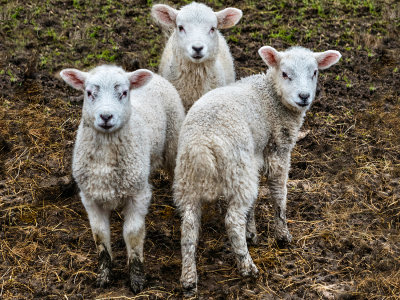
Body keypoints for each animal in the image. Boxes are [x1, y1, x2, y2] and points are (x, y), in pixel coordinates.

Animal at [59, 64, 186, 292]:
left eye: (124, 93)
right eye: (89, 93)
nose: (106, 116)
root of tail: (155, 76)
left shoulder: (138, 195)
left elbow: (133, 235)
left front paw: (136, 278)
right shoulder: (90, 198)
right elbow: (100, 235)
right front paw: (103, 275)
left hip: (173, 142)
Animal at [173, 45, 342, 296]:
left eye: (314, 73)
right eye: (285, 73)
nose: (304, 97)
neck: (272, 97)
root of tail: (202, 145)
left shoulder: (256, 155)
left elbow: (253, 204)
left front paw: (252, 232)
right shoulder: (277, 148)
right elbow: (278, 193)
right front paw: (282, 235)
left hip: (190, 180)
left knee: (189, 227)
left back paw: (188, 279)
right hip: (236, 168)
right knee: (232, 220)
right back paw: (247, 266)